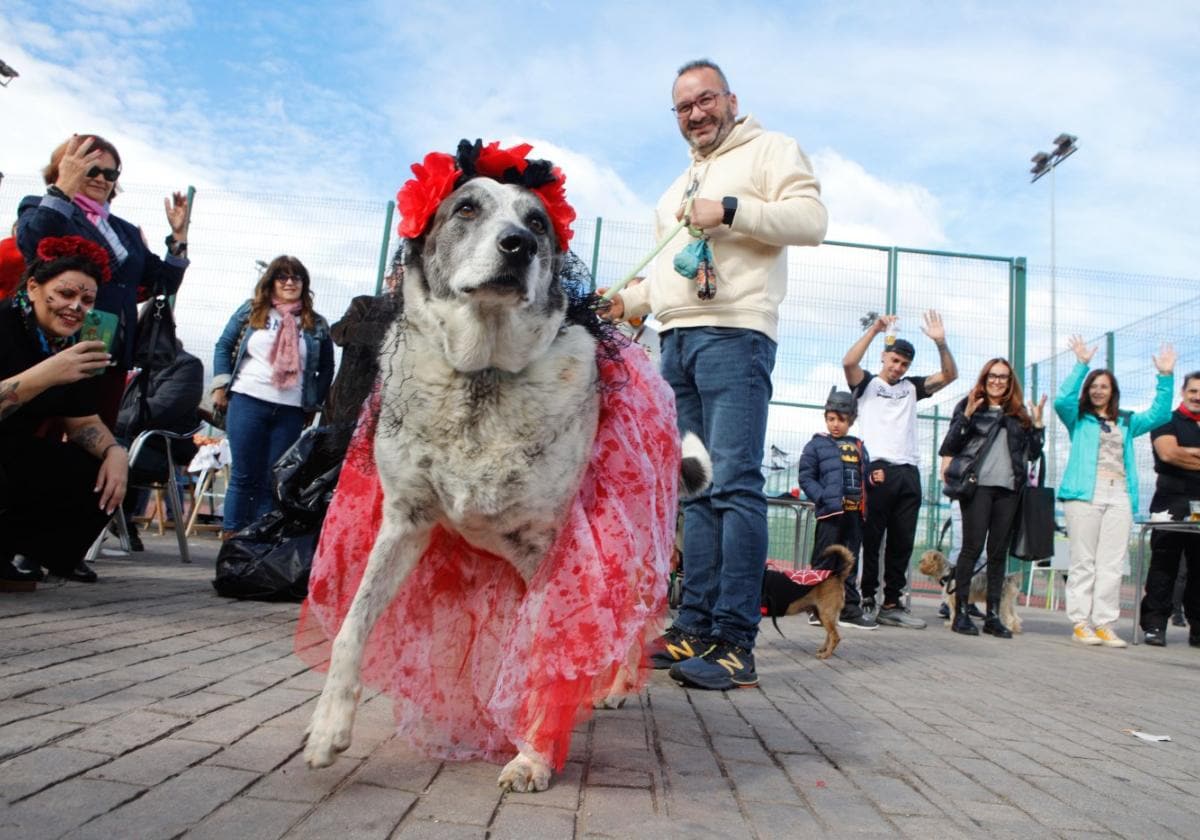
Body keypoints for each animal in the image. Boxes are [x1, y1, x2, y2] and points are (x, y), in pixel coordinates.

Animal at [300, 141, 705, 792]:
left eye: (537, 222)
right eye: (466, 208)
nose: (518, 245)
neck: (481, 377)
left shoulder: (553, 551)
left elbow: (543, 655)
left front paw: (534, 756)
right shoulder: (404, 522)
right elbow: (350, 627)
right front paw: (328, 729)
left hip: (638, 552)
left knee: (635, 620)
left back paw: (615, 686)